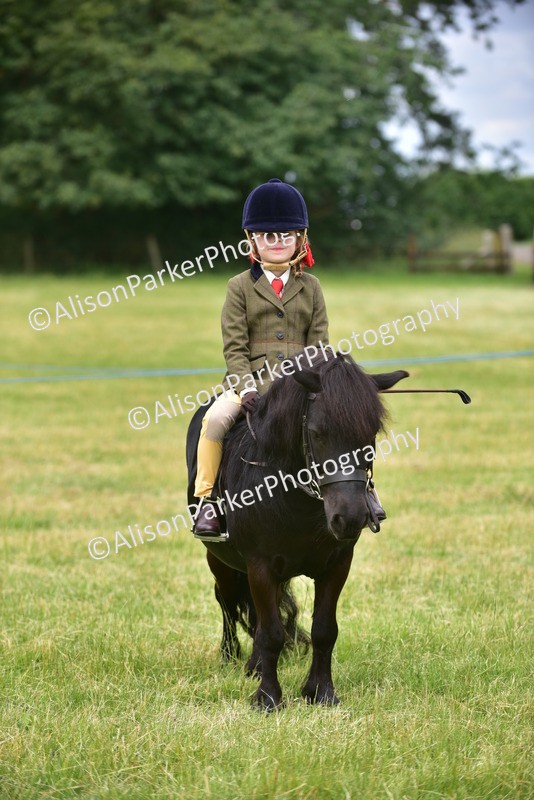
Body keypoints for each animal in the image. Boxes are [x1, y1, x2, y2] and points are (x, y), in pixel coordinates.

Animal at [186, 351, 408, 710]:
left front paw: (321, 692)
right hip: (219, 559)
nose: (350, 518)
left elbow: (323, 630)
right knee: (227, 600)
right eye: (317, 433)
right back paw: (230, 655)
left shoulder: (337, 564)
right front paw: (267, 698)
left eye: (371, 434)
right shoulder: (259, 565)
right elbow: (272, 633)